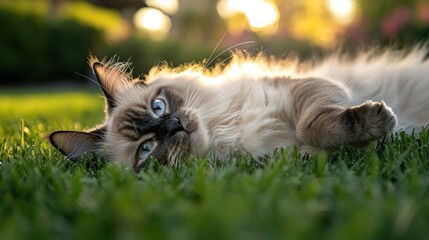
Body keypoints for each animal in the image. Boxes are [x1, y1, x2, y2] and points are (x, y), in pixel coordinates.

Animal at [49, 47, 428, 171]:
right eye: (146, 149)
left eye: (158, 107)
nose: (172, 126)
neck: (225, 133)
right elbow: (312, 139)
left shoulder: (302, 89)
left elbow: (312, 123)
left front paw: (379, 122)